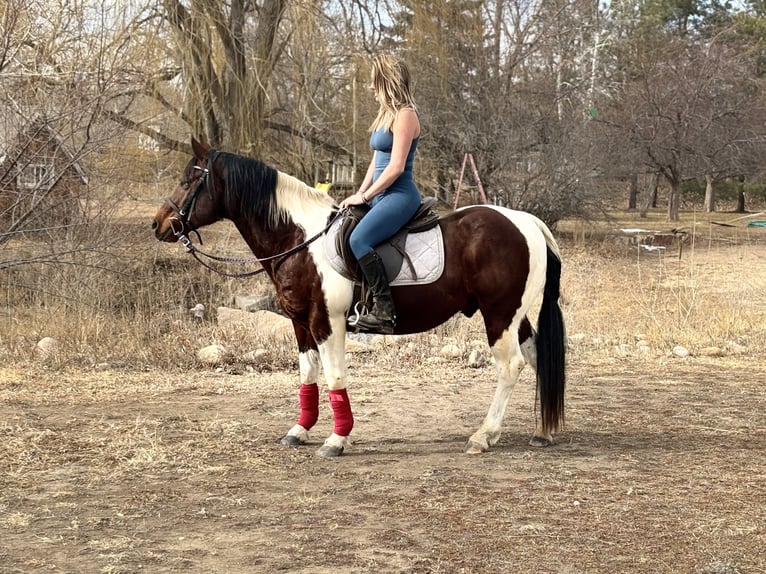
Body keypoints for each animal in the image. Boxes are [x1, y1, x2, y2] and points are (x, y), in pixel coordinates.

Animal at [152, 137, 566, 457]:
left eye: (189, 179)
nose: (159, 225)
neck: (299, 239)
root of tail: (526, 221)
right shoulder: (300, 322)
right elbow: (308, 375)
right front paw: (300, 430)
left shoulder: (326, 321)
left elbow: (334, 376)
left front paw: (337, 439)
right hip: (513, 316)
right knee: (535, 355)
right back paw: (542, 432)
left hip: (499, 315)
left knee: (510, 366)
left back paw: (484, 435)